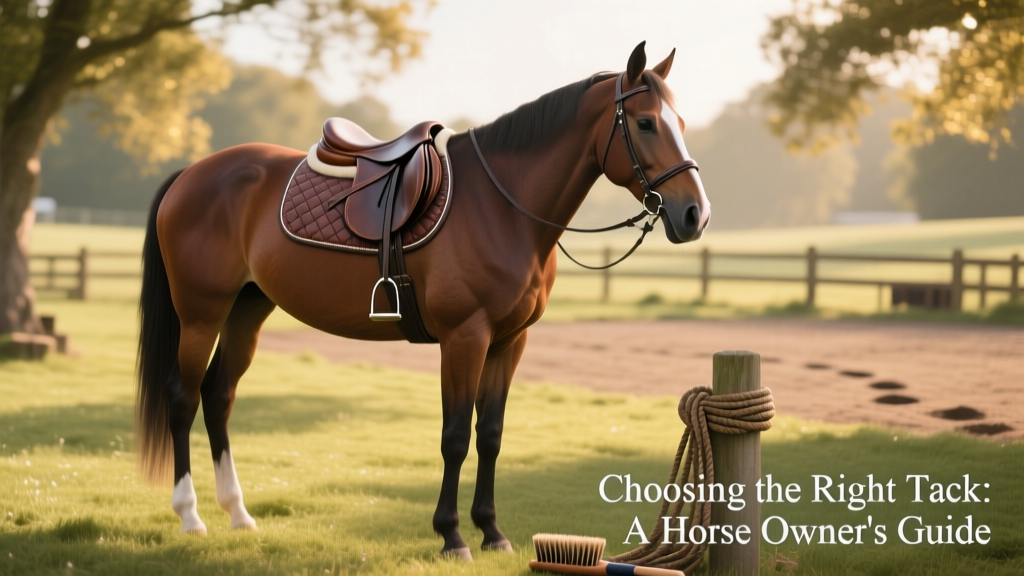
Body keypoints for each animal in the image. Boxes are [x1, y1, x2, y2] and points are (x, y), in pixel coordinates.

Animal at [135, 41, 710, 560]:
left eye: (680, 120)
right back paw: (190, 517)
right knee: (183, 397)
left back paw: (238, 514)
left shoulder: (509, 342)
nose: (694, 215)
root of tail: (193, 173)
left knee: (219, 396)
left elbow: (491, 434)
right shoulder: (464, 338)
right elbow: (454, 436)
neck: (499, 207)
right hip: (201, 313)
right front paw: (452, 536)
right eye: (645, 124)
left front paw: (492, 532)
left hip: (247, 311)